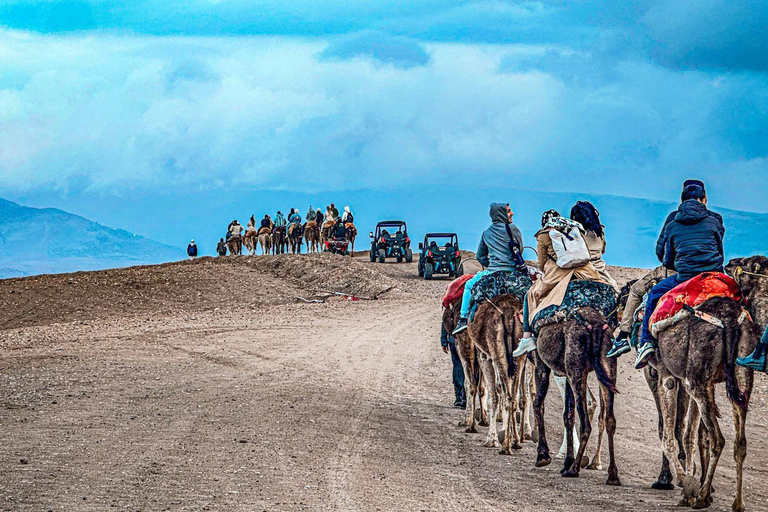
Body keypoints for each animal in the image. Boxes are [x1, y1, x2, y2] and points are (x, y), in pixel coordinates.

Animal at [533, 306, 621, 486]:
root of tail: (596, 327)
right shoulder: (566, 374)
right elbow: (568, 414)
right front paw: (567, 461)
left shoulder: (541, 364)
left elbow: (538, 405)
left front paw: (543, 455)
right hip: (608, 367)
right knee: (610, 419)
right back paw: (612, 475)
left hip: (577, 371)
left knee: (586, 423)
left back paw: (574, 470)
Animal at [646, 257, 764, 511]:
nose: (731, 262)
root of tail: (729, 318)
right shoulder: (691, 380)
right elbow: (689, 433)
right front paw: (690, 484)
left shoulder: (667, 376)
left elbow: (669, 434)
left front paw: (685, 483)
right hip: (740, 374)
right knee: (739, 442)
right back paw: (736, 503)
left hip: (697, 382)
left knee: (717, 438)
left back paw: (700, 497)